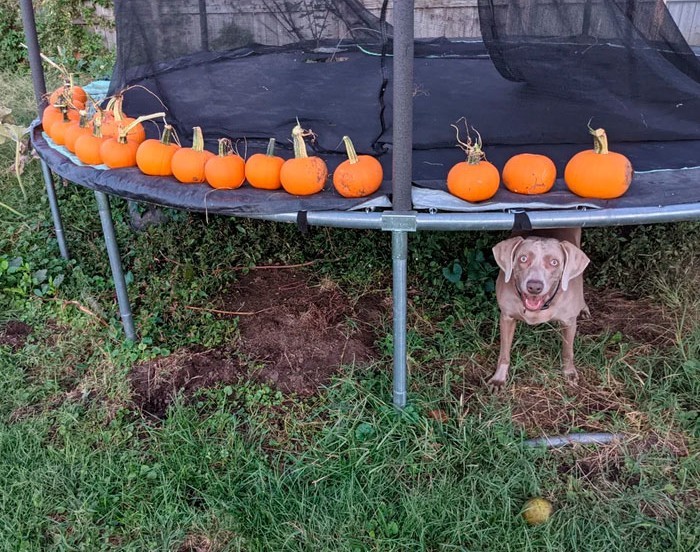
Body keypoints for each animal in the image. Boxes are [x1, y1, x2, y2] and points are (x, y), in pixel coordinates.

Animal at [486, 226, 592, 390]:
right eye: (523, 258)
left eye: (554, 262)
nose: (534, 287)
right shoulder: (506, 318)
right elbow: (504, 353)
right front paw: (499, 378)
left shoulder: (569, 322)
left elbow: (568, 352)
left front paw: (569, 372)